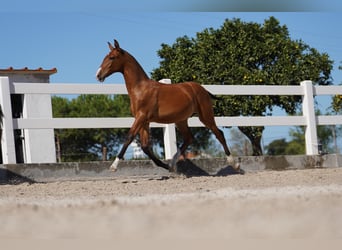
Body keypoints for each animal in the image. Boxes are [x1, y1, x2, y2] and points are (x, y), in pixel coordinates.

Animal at [96, 39, 239, 172]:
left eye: (112, 57)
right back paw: (172, 164)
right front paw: (166, 166)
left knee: (219, 134)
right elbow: (145, 146)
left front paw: (113, 166)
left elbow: (129, 137)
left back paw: (234, 164)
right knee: (189, 138)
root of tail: (203, 89)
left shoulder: (141, 117)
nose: (98, 75)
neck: (140, 88)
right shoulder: (144, 121)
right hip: (181, 120)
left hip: (205, 116)